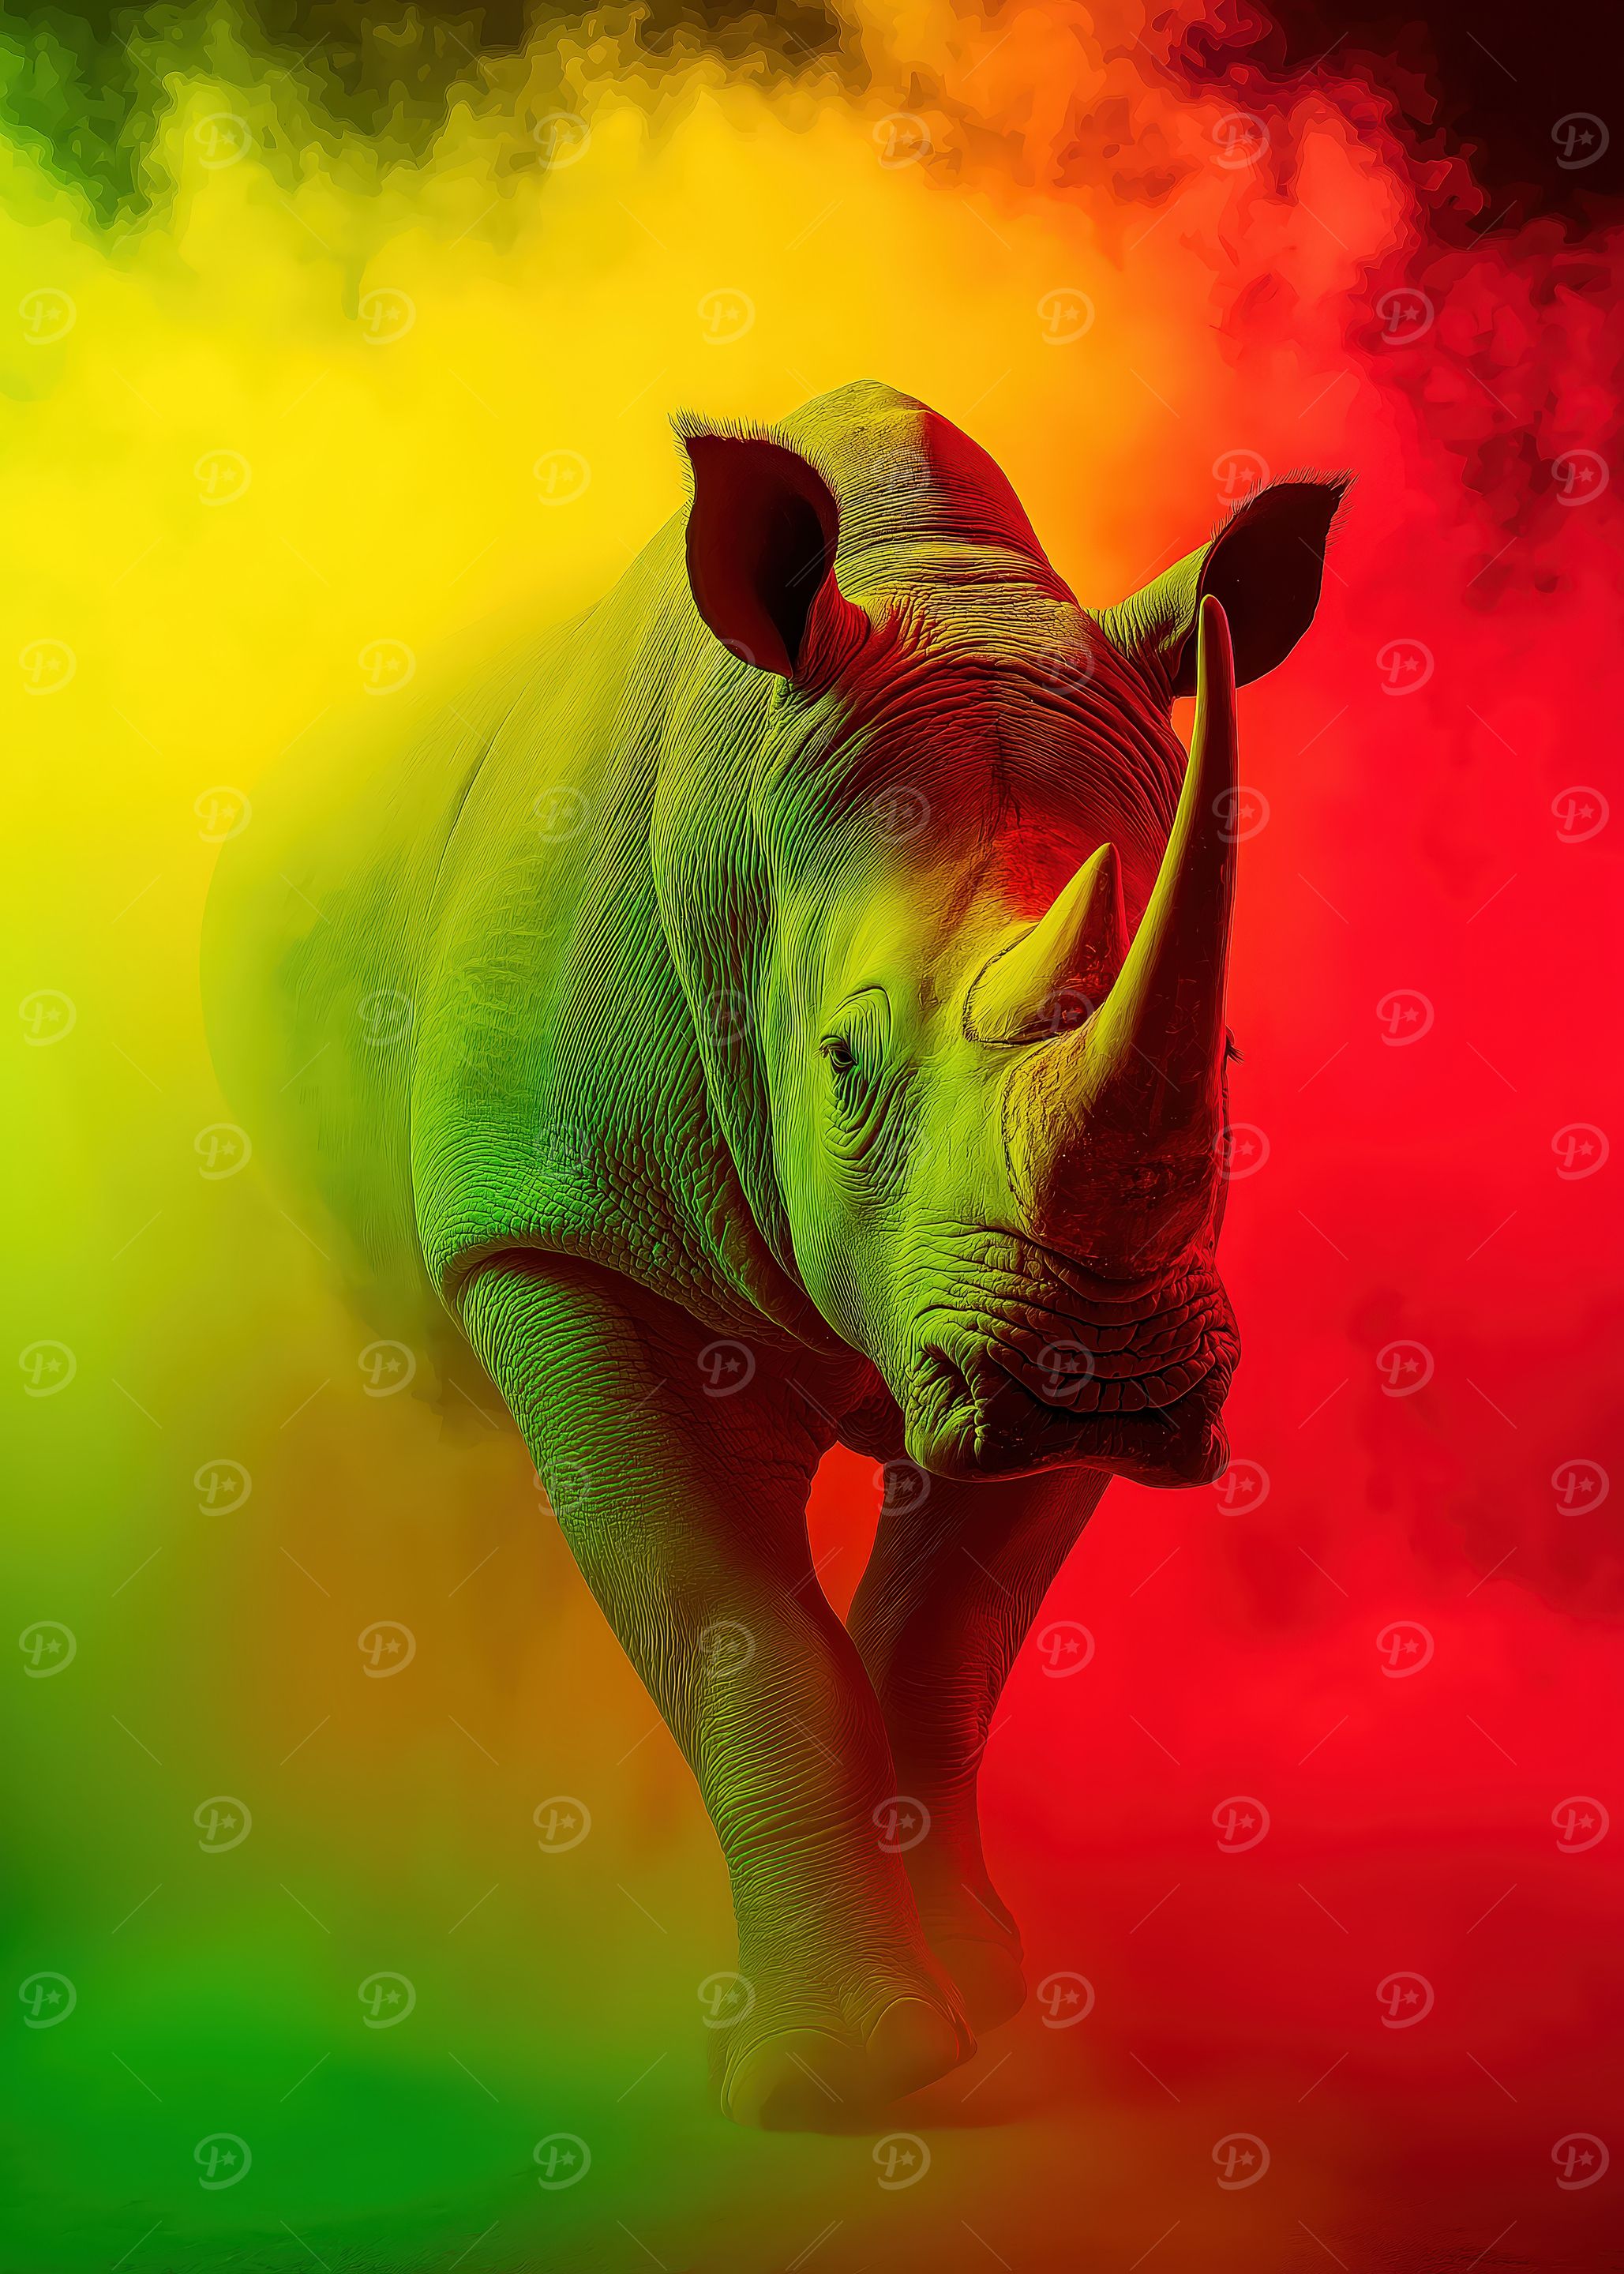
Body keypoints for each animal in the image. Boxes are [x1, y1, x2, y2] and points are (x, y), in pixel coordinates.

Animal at [205, 379, 1344, 2129]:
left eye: (1221, 1060)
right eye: (843, 1065)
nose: (1100, 1374)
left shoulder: (1041, 1305)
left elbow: (939, 1643)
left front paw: (976, 1984)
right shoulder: (567, 1237)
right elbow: (739, 1627)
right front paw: (840, 2078)